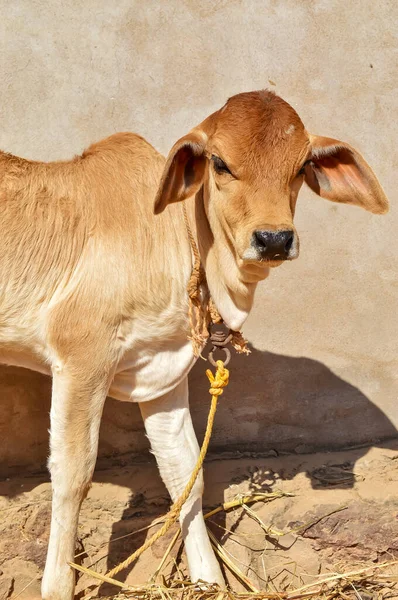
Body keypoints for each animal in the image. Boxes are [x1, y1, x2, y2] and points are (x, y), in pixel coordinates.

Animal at [0, 90, 388, 600]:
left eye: (303, 165)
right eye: (219, 163)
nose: (274, 239)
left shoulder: (162, 371)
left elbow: (185, 472)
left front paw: (209, 579)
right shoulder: (81, 358)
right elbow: (72, 477)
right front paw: (58, 585)